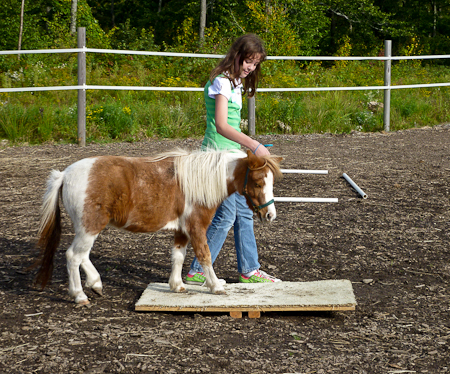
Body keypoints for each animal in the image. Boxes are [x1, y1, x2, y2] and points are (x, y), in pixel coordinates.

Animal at [33, 147, 284, 304]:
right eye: (258, 182)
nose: (270, 214)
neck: (199, 181)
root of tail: (65, 175)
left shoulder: (182, 231)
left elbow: (178, 256)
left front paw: (177, 285)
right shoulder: (196, 228)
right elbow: (205, 255)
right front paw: (216, 286)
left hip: (88, 228)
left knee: (82, 256)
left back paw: (95, 283)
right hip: (89, 227)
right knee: (73, 256)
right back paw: (79, 295)